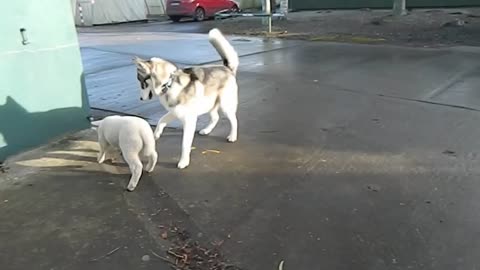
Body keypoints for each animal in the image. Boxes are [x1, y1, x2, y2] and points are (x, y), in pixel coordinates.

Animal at [133, 29, 238, 169]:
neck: (169, 84)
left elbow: (185, 144)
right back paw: (206, 130)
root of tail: (226, 68)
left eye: (142, 83)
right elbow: (161, 120)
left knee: (234, 120)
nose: (140, 98)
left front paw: (184, 161)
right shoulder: (174, 112)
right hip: (209, 104)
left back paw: (232, 136)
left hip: (225, 106)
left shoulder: (189, 121)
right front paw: (156, 134)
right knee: (215, 117)